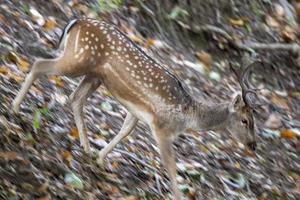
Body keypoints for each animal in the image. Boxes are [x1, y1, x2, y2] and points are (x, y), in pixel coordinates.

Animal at [12, 18, 258, 199]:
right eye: (245, 120)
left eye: (253, 119)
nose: (253, 145)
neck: (188, 116)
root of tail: (76, 21)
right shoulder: (162, 128)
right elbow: (171, 166)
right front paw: (177, 195)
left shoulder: (136, 112)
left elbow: (125, 131)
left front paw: (101, 159)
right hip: (77, 59)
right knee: (39, 64)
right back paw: (14, 109)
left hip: (93, 74)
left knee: (75, 98)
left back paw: (86, 148)